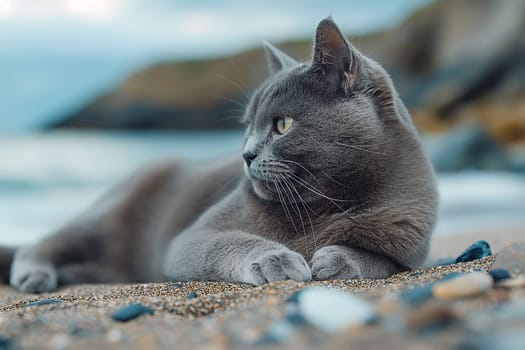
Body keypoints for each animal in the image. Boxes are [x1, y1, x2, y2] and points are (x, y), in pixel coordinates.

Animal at [0, 18, 436, 292]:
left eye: (282, 125)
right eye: (247, 126)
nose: (245, 154)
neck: (329, 205)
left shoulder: (411, 246)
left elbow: (382, 261)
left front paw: (336, 259)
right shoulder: (192, 237)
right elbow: (229, 242)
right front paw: (279, 260)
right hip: (109, 213)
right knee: (44, 241)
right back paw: (34, 275)